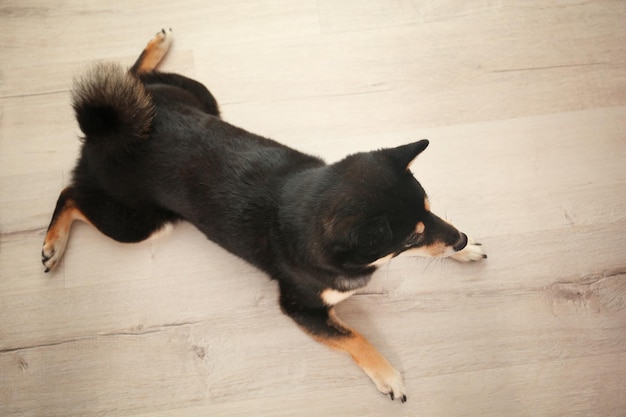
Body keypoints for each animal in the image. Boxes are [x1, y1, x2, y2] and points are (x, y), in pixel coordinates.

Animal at [41, 28, 486, 400]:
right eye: (410, 237)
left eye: (428, 210)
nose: (461, 238)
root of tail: (107, 131)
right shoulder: (301, 309)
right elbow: (355, 338)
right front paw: (388, 376)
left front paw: (465, 248)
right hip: (139, 225)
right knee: (71, 194)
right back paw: (52, 245)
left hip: (196, 98)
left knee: (130, 77)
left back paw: (155, 48)